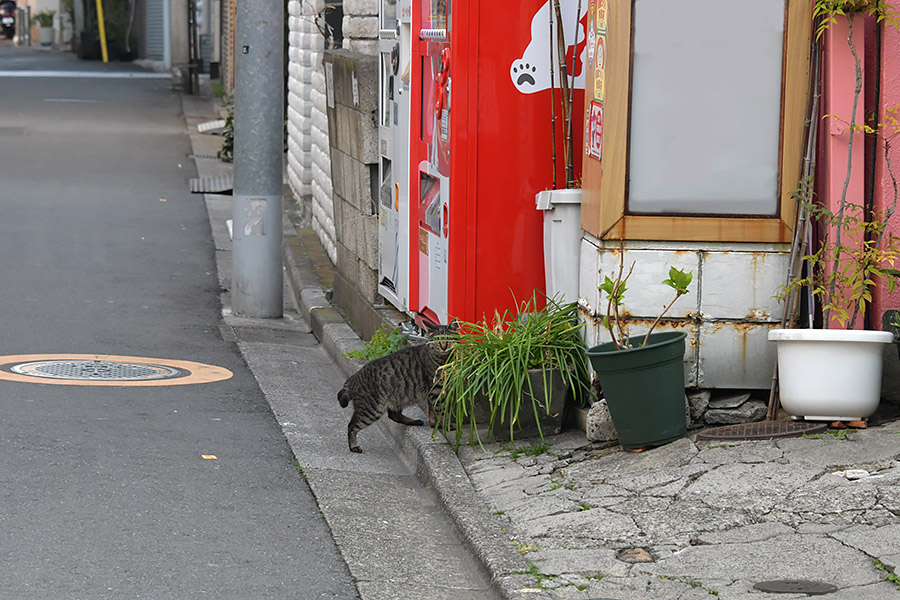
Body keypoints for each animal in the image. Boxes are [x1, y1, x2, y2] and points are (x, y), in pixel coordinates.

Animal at [342, 322, 460, 452]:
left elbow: (432, 411)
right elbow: (442, 410)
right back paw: (353, 446)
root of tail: (354, 377)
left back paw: (414, 421)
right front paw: (448, 425)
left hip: (398, 398)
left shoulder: (435, 392)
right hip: (372, 409)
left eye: (448, 338)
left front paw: (435, 423)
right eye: (437, 340)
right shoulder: (436, 390)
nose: (444, 346)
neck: (443, 359)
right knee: (352, 426)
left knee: (393, 415)